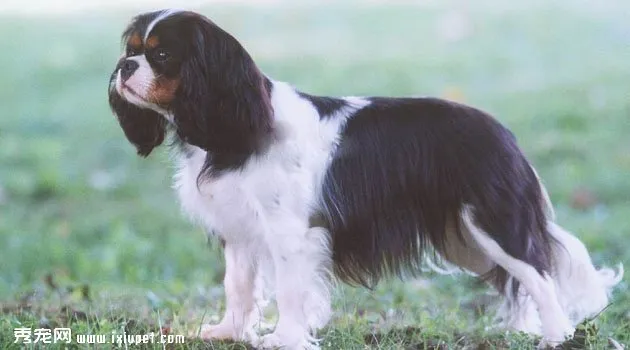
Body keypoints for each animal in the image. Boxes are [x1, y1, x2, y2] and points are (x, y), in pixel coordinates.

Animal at [106, 9, 624, 348]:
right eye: (131, 52)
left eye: (162, 55)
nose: (125, 67)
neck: (237, 127)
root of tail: (505, 135)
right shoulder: (240, 229)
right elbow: (239, 285)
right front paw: (229, 332)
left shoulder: (291, 232)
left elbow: (290, 289)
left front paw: (285, 338)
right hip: (466, 239)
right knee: (519, 279)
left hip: (490, 223)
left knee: (538, 274)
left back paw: (557, 335)